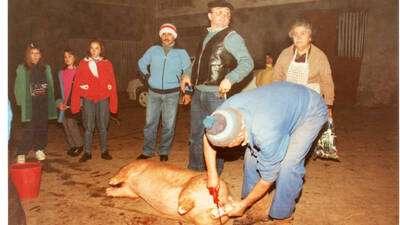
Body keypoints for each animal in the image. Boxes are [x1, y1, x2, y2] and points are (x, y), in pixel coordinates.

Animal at [104, 160, 233, 225]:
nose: (108, 186)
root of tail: (226, 197)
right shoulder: (132, 191)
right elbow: (126, 192)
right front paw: (108, 191)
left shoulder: (136, 166)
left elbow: (123, 172)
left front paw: (111, 181)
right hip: (205, 220)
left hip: (195, 184)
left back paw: (181, 209)